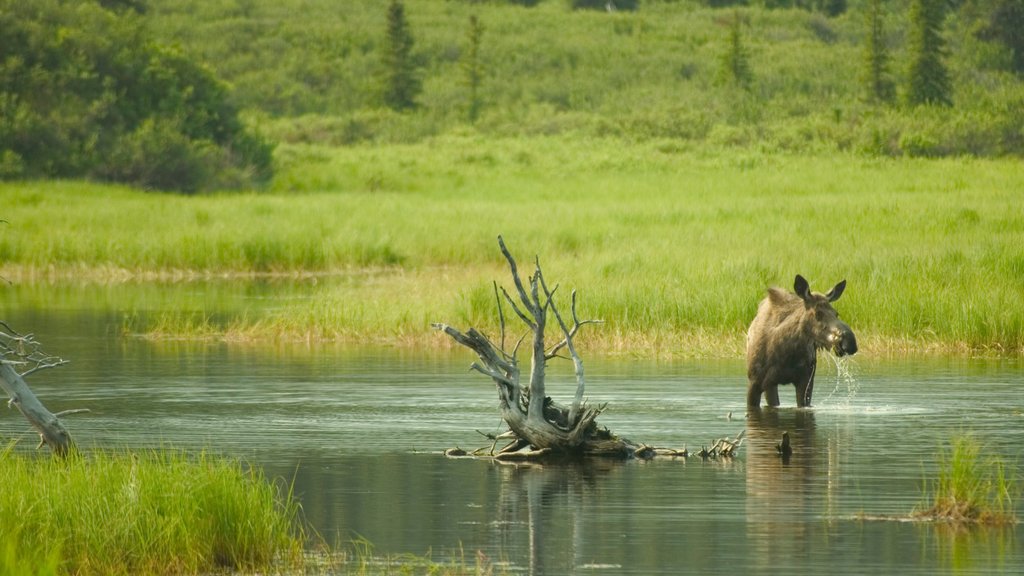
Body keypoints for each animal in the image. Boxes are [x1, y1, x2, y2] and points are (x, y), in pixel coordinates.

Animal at [745, 274, 856, 405]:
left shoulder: (806, 382)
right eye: (818, 314)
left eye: (836, 313)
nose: (849, 342)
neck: (785, 352)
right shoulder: (755, 382)